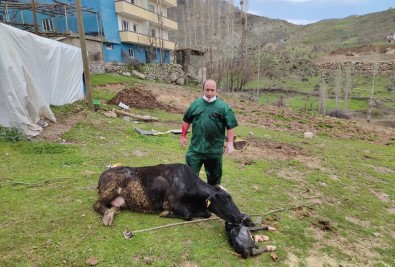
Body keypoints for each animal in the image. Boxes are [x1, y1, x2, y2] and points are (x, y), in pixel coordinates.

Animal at [94, 163, 246, 226]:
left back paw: (112, 213)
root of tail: (103, 174)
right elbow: (188, 215)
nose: (240, 217)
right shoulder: (172, 203)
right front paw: (166, 213)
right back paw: (108, 215)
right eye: (225, 200)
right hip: (110, 189)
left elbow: (207, 213)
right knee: (97, 205)